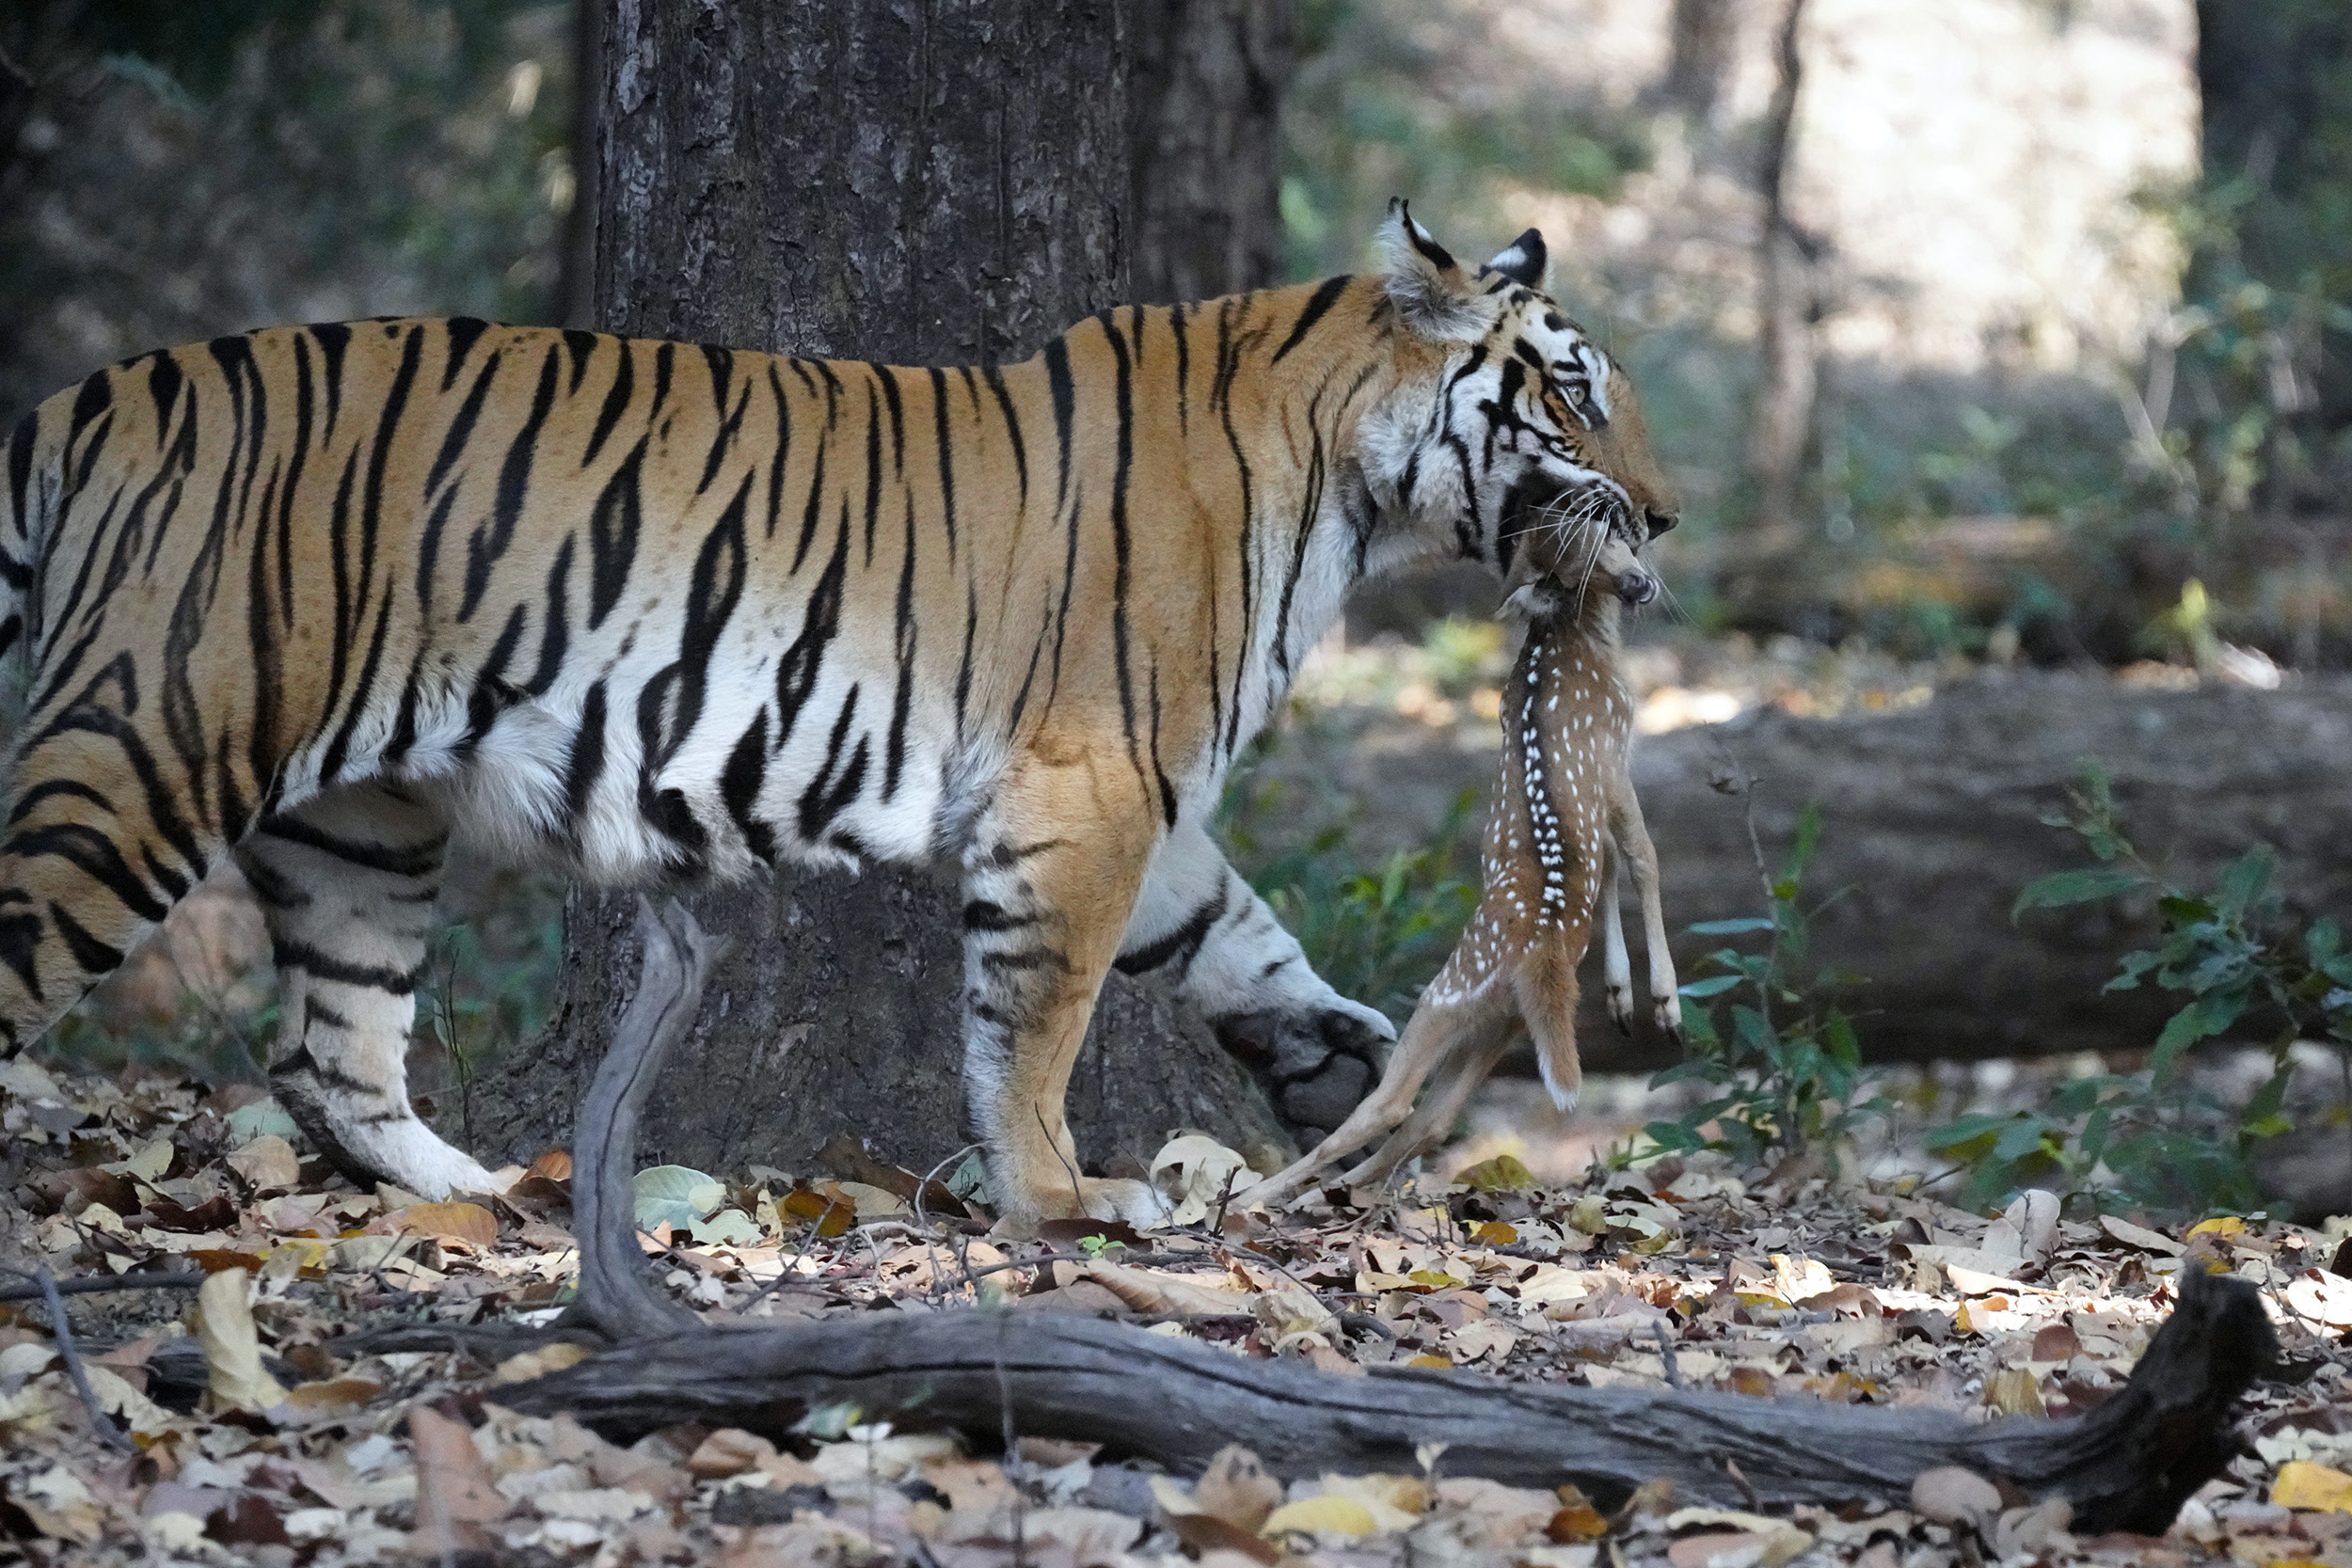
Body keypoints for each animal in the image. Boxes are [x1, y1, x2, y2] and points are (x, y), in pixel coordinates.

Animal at [0, 202, 1676, 1225]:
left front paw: (1331, 1055)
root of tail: (99, 393)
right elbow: (1036, 1019)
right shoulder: (1086, 783)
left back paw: (489, 1192)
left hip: (360, 823)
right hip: (139, 755)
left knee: (331, 1051)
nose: (1666, 516)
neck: (1352, 492)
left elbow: (1230, 928)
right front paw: (1064, 1199)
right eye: (1575, 393)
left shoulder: (1134, 794)